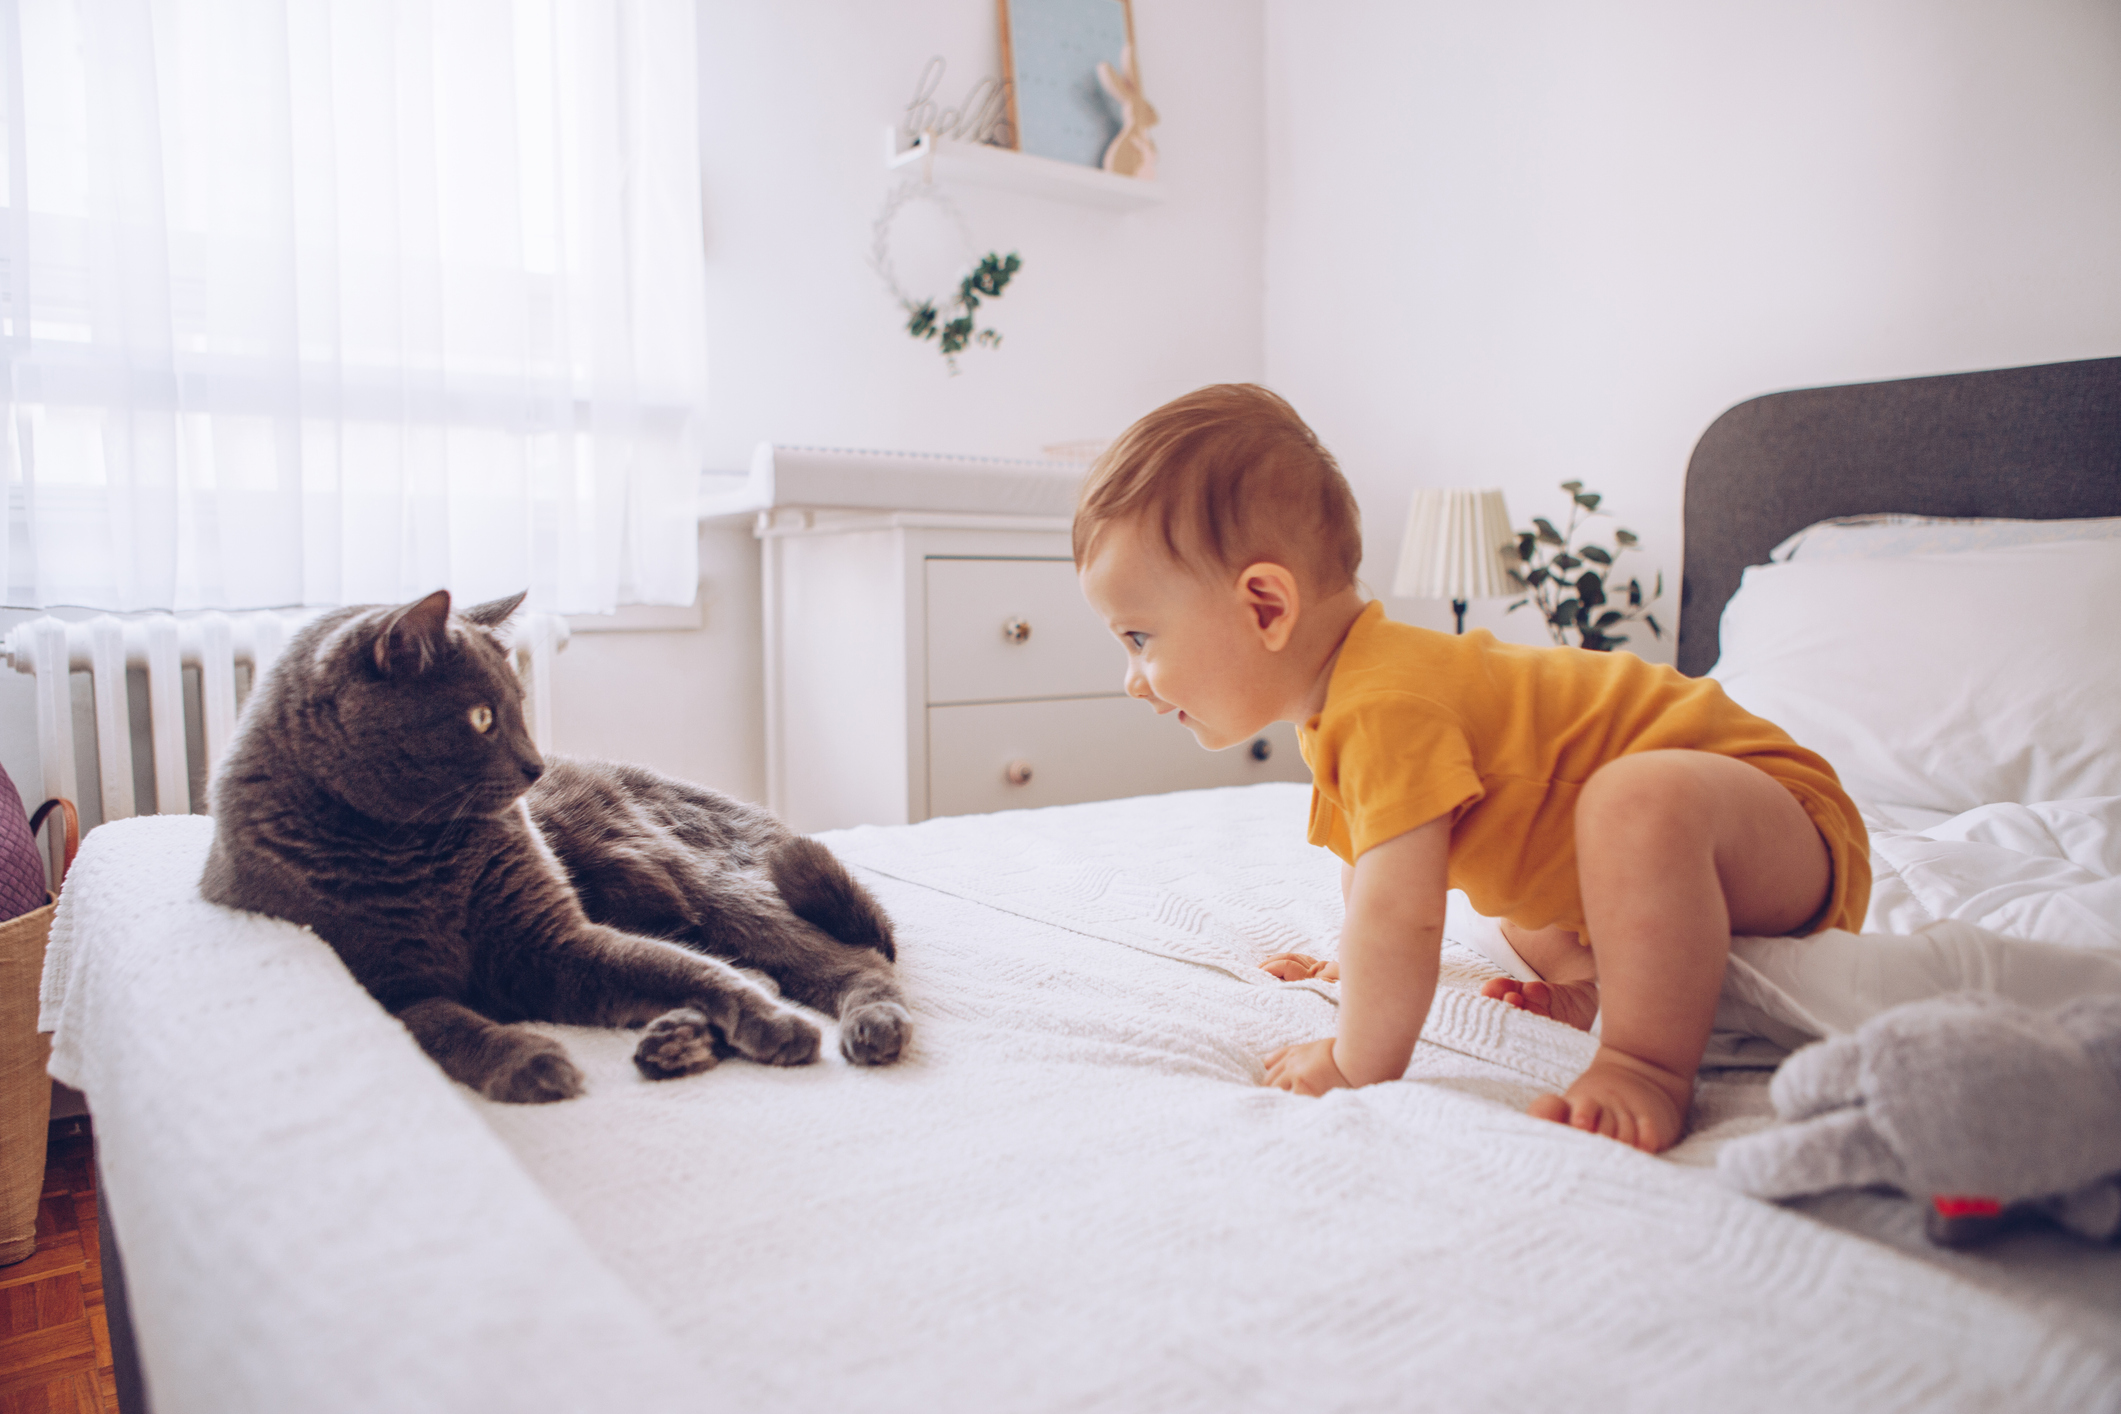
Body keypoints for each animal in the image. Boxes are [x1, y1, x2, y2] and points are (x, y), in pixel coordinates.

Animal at [200, 585, 920, 1102]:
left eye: (518, 705)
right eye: (481, 717)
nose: (535, 766)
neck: (417, 849)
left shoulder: (550, 941)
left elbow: (682, 969)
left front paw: (773, 1025)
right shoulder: (386, 988)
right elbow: (443, 1026)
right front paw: (528, 1059)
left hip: (694, 879)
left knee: (847, 960)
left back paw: (867, 1024)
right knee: (760, 965)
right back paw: (676, 1040)